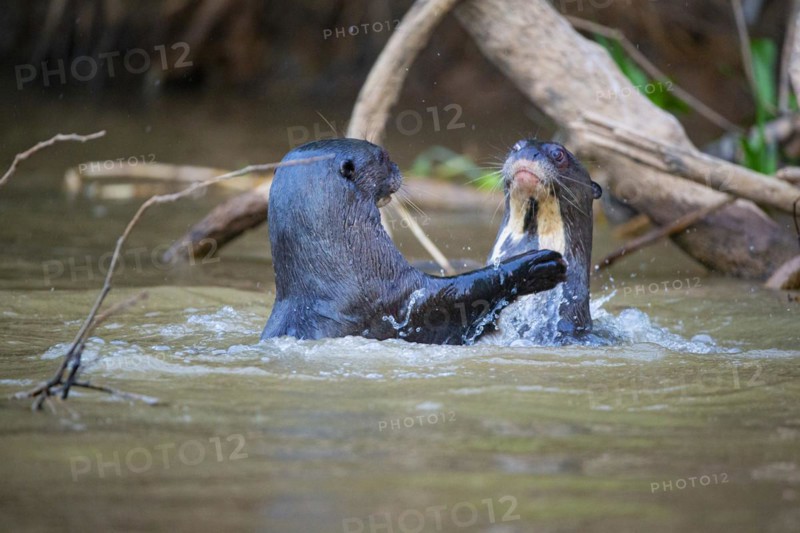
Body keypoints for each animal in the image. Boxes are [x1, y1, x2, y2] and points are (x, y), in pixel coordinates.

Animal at [261, 138, 567, 345]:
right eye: (383, 156)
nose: (397, 166)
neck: (349, 272)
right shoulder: (400, 301)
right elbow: (463, 292)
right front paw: (537, 265)